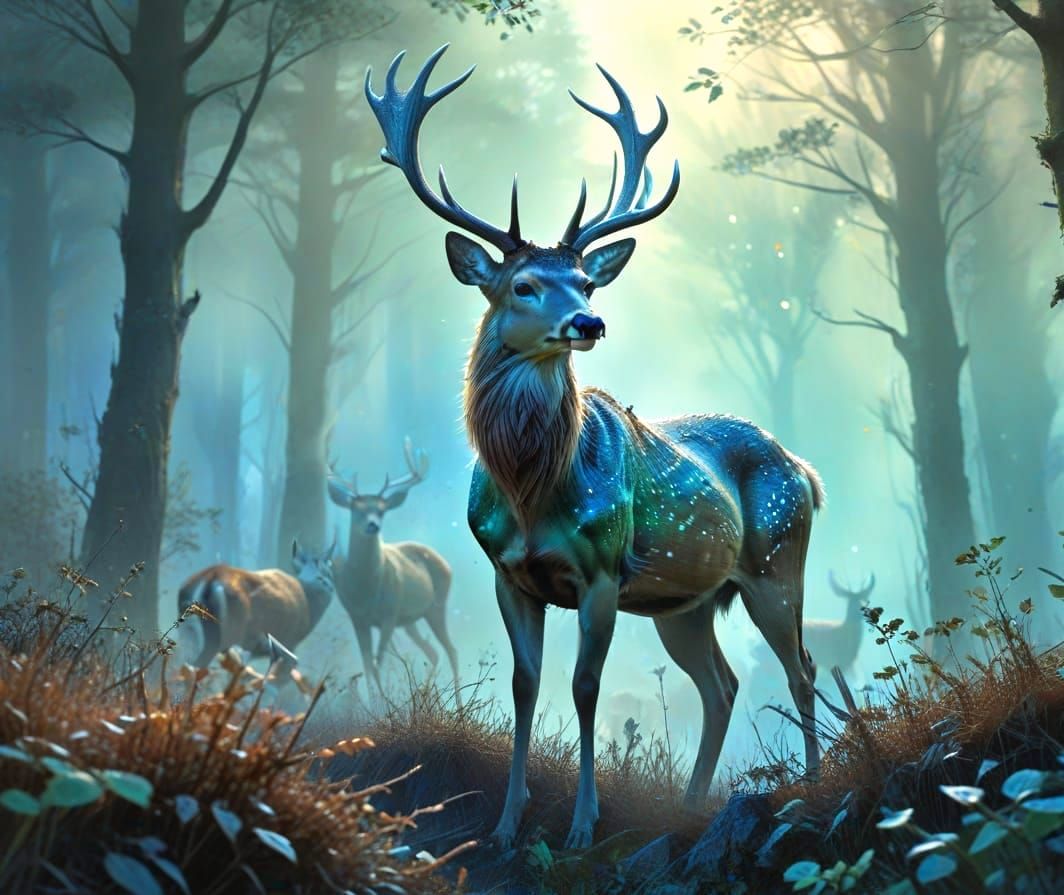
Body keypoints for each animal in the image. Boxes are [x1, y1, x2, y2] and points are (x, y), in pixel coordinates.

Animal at [174, 539, 337, 669]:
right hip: (225, 635)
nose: (328, 584)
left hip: (187, 632)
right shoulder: (288, 645)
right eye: (329, 573)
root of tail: (209, 579)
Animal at [327, 438, 459, 701]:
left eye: (382, 509)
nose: (372, 525)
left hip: (435, 606)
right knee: (433, 652)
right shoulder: (357, 617)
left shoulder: (389, 614)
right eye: (356, 509)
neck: (364, 589)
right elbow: (368, 666)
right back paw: (422, 693)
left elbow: (378, 664)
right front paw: (374, 704)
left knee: (451, 650)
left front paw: (384, 704)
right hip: (410, 620)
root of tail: (447, 564)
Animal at [365, 46, 825, 849]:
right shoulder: (508, 573)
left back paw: (813, 783)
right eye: (522, 283)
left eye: (584, 279)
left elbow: (585, 687)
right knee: (723, 684)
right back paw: (689, 804)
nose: (590, 321)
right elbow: (526, 686)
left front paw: (582, 825)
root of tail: (803, 468)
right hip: (685, 602)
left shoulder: (604, 570)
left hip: (777, 560)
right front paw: (506, 825)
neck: (529, 493)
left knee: (801, 668)